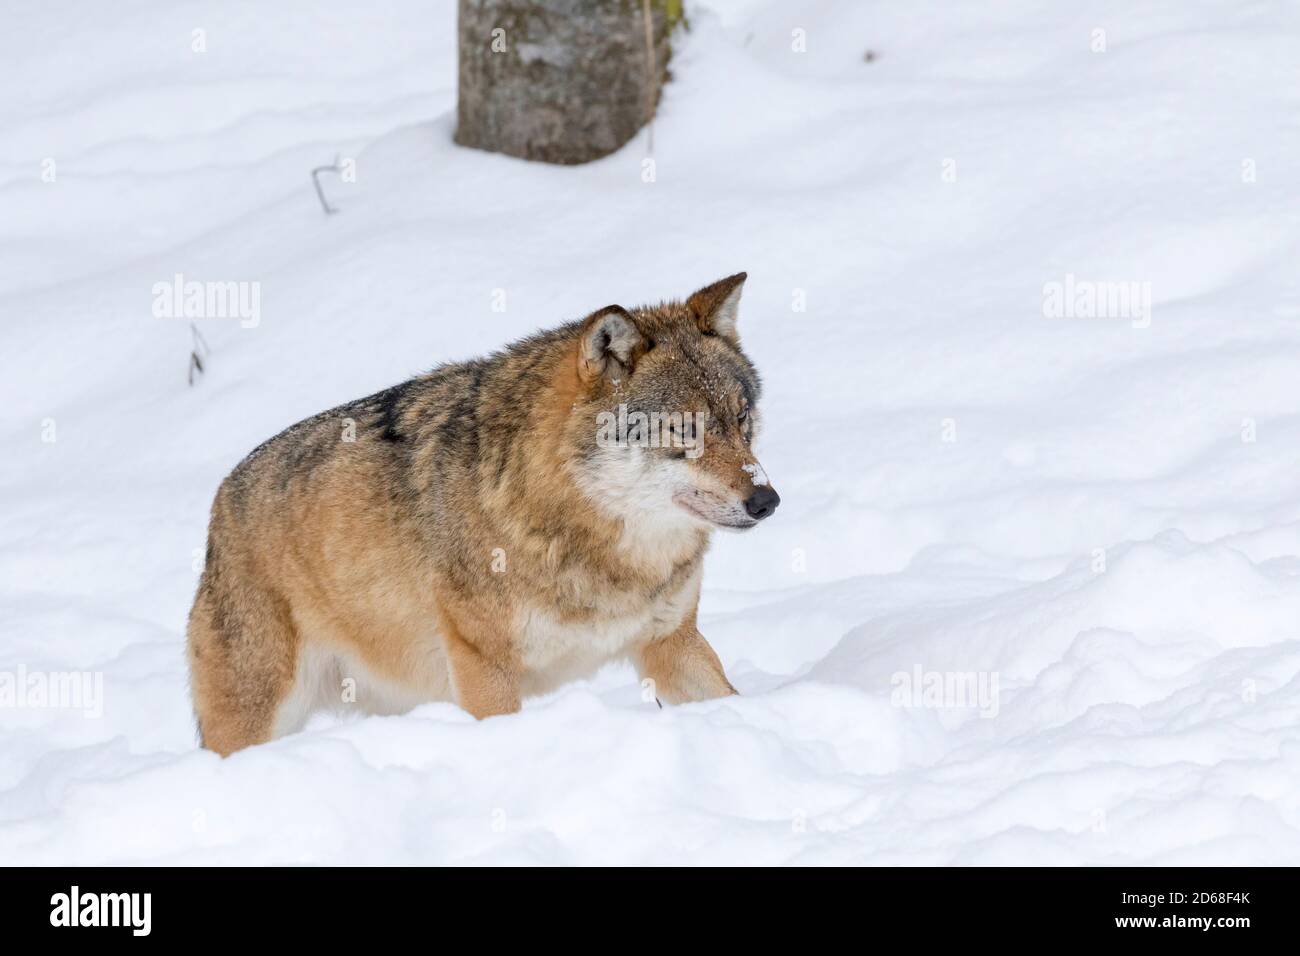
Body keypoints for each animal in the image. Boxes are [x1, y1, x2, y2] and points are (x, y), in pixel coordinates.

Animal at [187, 273, 779, 755]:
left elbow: (727, 696)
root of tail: (220, 498)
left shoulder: (672, 643)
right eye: (683, 430)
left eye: (741, 418)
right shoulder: (482, 664)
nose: (767, 501)